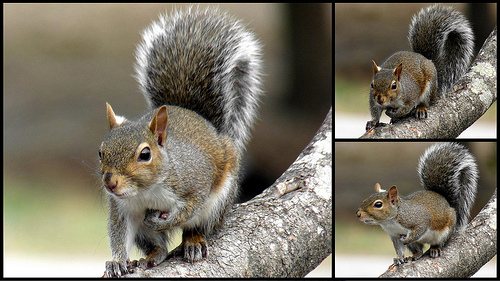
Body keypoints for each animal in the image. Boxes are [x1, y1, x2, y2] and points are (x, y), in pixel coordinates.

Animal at [97, 7, 262, 276]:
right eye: (101, 152)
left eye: (145, 154)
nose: (110, 183)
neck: (146, 191)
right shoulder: (122, 209)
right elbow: (119, 233)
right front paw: (117, 261)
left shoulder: (195, 182)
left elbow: (189, 209)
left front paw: (167, 220)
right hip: (143, 231)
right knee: (156, 244)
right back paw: (152, 255)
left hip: (218, 201)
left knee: (198, 226)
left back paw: (193, 242)